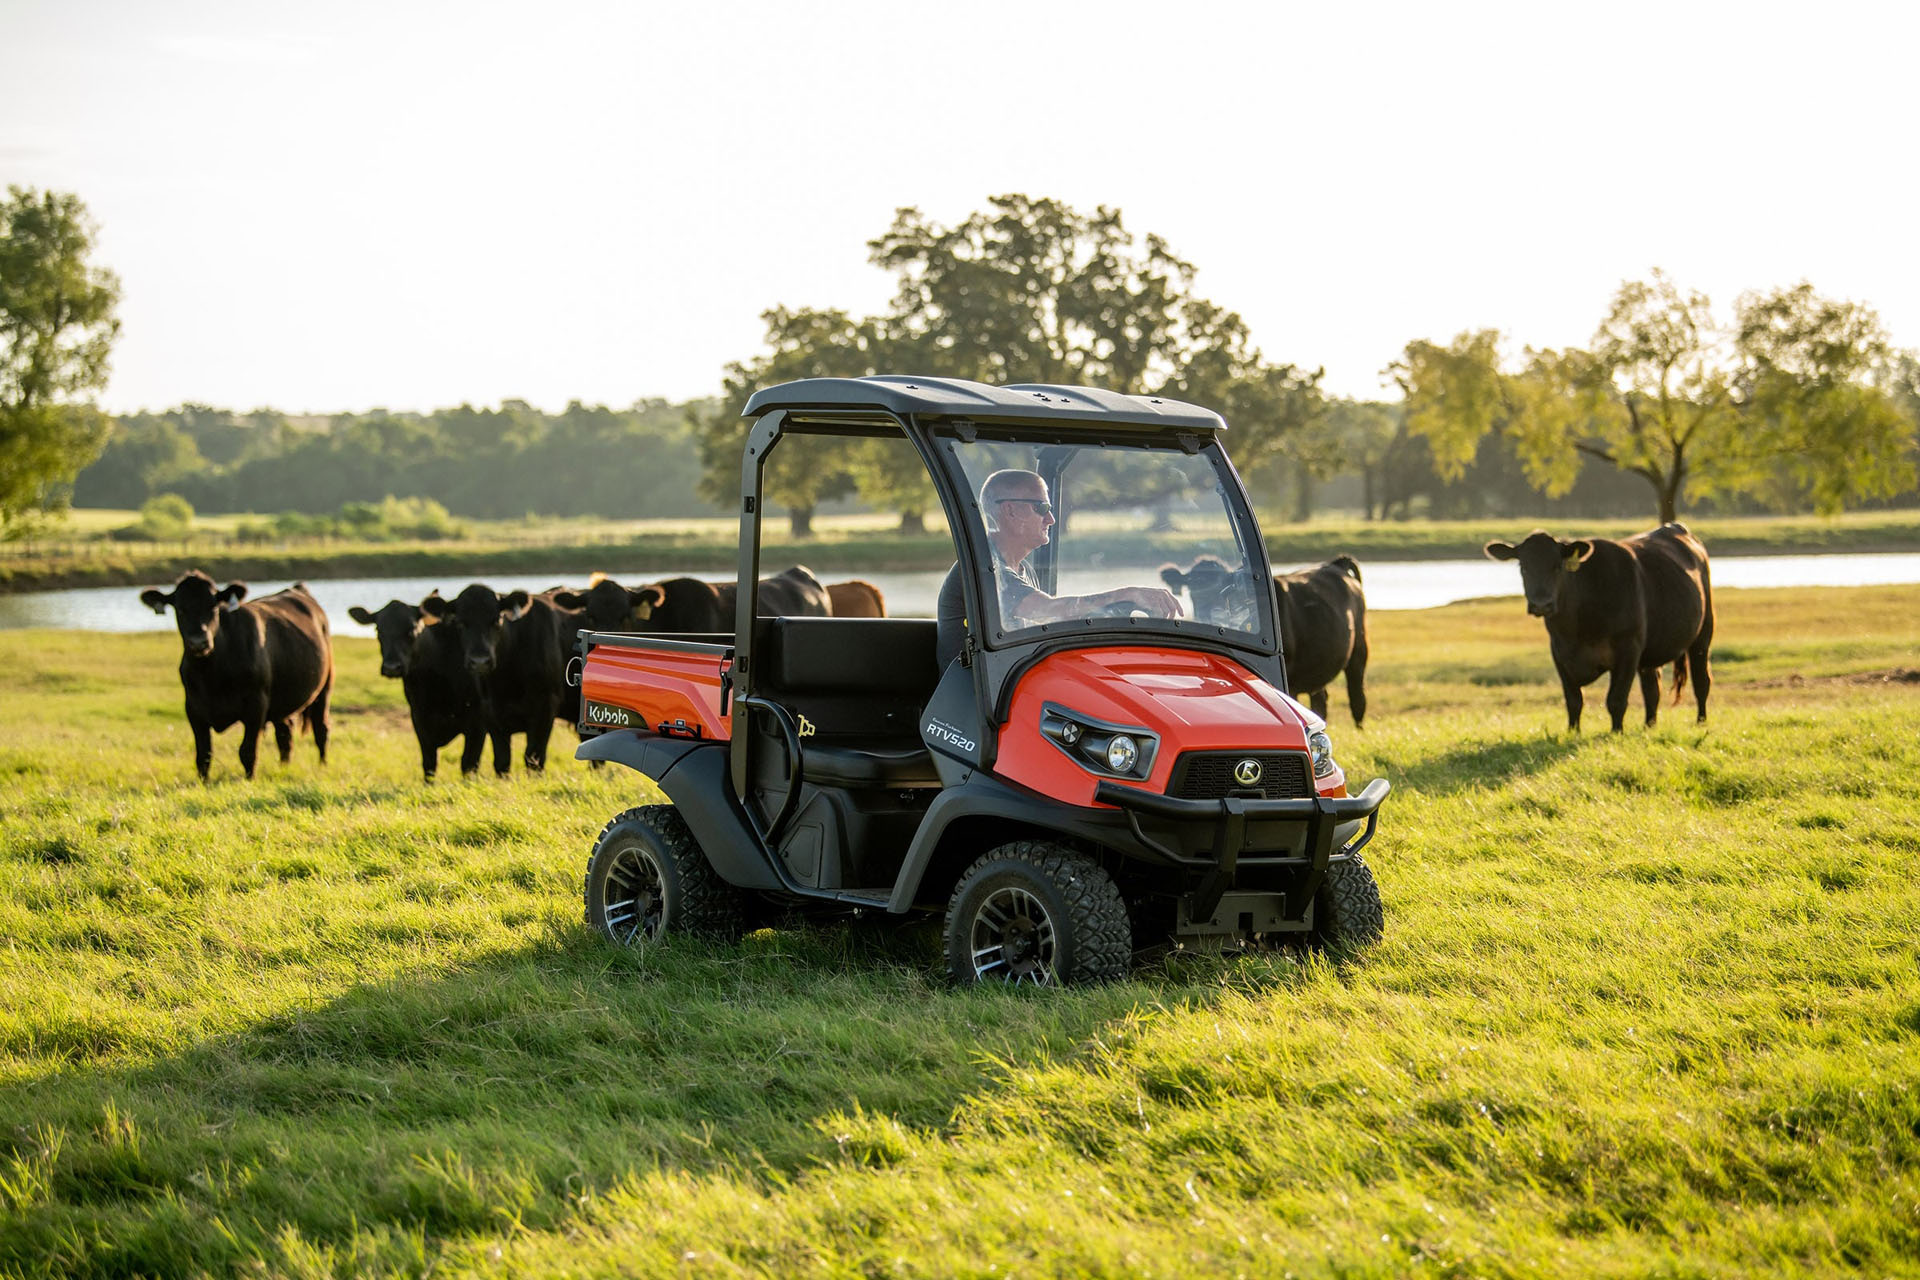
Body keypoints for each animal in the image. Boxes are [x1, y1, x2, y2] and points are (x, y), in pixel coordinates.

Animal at [140, 571, 336, 782]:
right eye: (180, 609)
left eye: (214, 607)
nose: (199, 642)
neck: (211, 674)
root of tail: (295, 589)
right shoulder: (193, 708)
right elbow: (203, 755)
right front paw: (204, 783)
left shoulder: (256, 705)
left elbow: (247, 751)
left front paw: (249, 780)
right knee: (285, 735)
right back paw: (283, 768)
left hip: (324, 688)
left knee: (321, 729)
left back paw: (323, 766)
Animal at [351, 594, 487, 786]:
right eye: (378, 630)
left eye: (412, 630)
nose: (392, 667)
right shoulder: (419, 717)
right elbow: (429, 762)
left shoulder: (477, 720)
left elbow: (469, 762)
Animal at [420, 587, 560, 775]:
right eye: (460, 623)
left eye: (496, 620)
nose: (480, 661)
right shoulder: (490, 713)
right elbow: (502, 762)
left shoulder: (546, 707)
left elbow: (534, 759)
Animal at [1159, 556, 1374, 725]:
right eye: (1192, 590)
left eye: (1221, 590)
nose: (1205, 615)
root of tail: (1335, 564)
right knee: (1320, 700)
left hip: (1359, 648)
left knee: (1357, 698)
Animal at [1474, 525, 1720, 736]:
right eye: (1523, 567)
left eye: (1557, 566)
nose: (1541, 604)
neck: (1577, 630)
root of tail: (1674, 527)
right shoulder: (1559, 653)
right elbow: (1573, 700)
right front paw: (1573, 733)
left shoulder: (1628, 649)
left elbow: (1616, 699)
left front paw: (1616, 733)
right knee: (1652, 690)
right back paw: (1649, 726)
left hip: (1703, 634)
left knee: (1701, 682)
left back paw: (1701, 722)